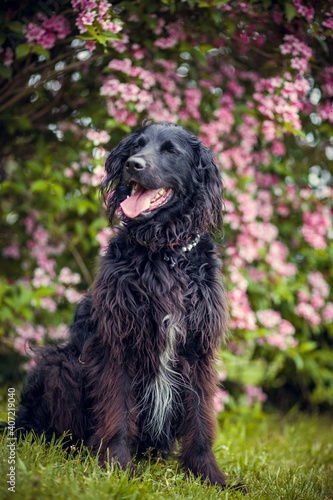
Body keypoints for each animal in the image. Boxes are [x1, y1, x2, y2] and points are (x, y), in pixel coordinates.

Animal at [16, 123, 230, 486]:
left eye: (171, 151)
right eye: (136, 146)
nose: (133, 164)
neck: (164, 254)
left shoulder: (198, 350)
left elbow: (201, 420)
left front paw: (208, 475)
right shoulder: (117, 342)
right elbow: (116, 410)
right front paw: (115, 467)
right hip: (60, 364)